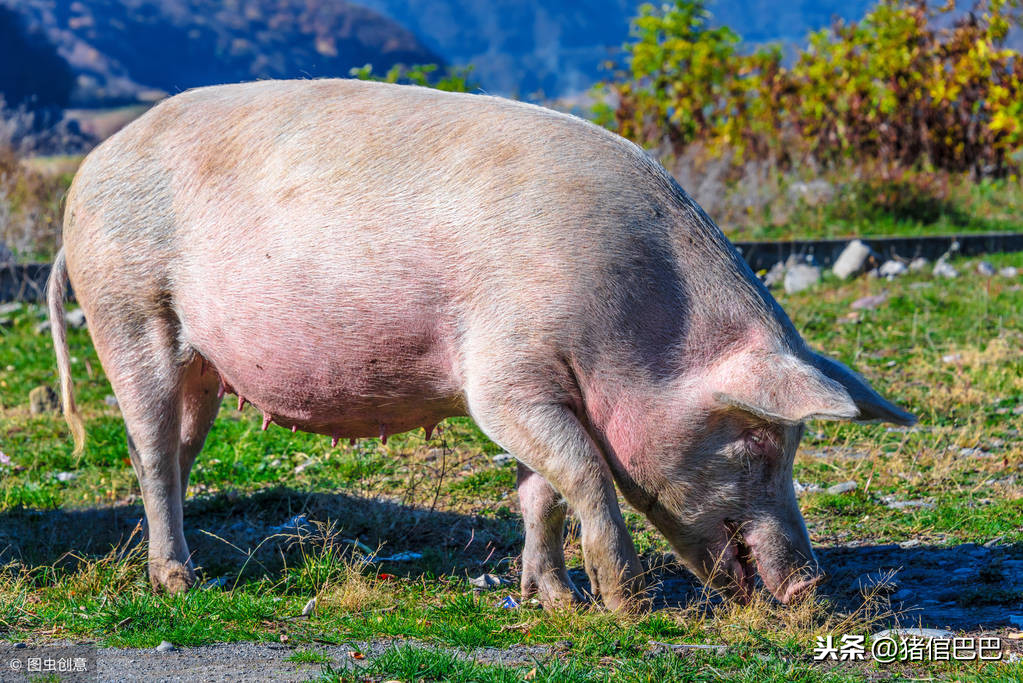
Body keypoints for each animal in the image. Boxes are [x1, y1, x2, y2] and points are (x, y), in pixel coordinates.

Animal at [46, 80, 912, 609]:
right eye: (759, 444)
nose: (810, 587)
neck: (642, 327)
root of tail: (86, 175)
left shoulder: (545, 388)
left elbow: (540, 492)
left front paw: (552, 599)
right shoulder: (504, 375)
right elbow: (584, 474)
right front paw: (625, 603)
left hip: (200, 360)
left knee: (175, 452)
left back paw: (183, 564)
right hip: (126, 307)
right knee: (148, 446)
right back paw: (177, 583)